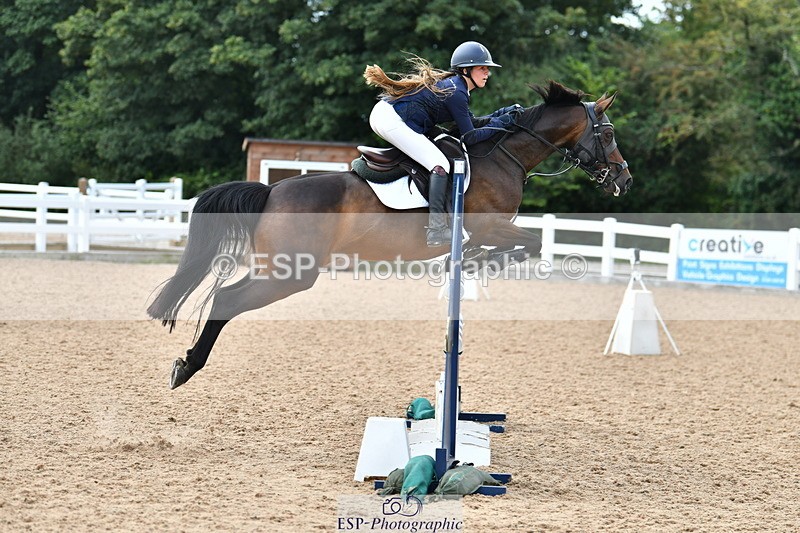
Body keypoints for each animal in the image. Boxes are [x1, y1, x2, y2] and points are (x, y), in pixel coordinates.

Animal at [147, 80, 633, 389]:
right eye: (608, 132)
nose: (624, 180)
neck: (503, 156)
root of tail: (272, 191)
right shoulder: (488, 222)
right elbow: (530, 242)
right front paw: (480, 259)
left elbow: (527, 244)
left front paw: (476, 260)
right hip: (291, 273)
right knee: (227, 299)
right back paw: (187, 368)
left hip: (282, 269)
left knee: (226, 297)